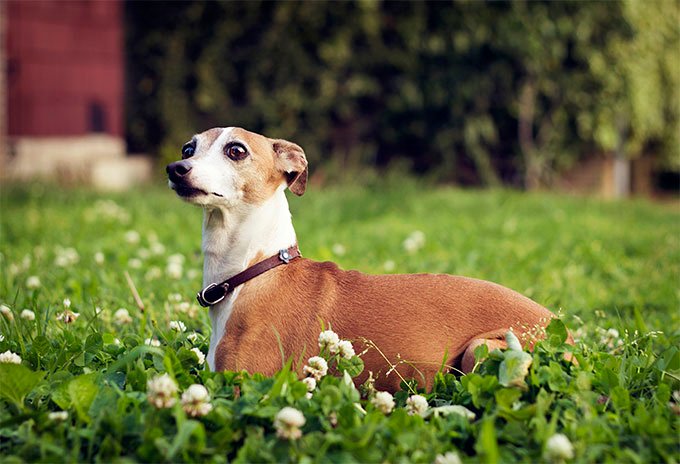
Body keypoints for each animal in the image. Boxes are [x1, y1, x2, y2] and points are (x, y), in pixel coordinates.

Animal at [166, 126, 564, 392]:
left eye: (236, 150)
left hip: (486, 349)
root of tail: (565, 330)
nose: (176, 168)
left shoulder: (246, 383)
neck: (252, 271)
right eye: (189, 148)